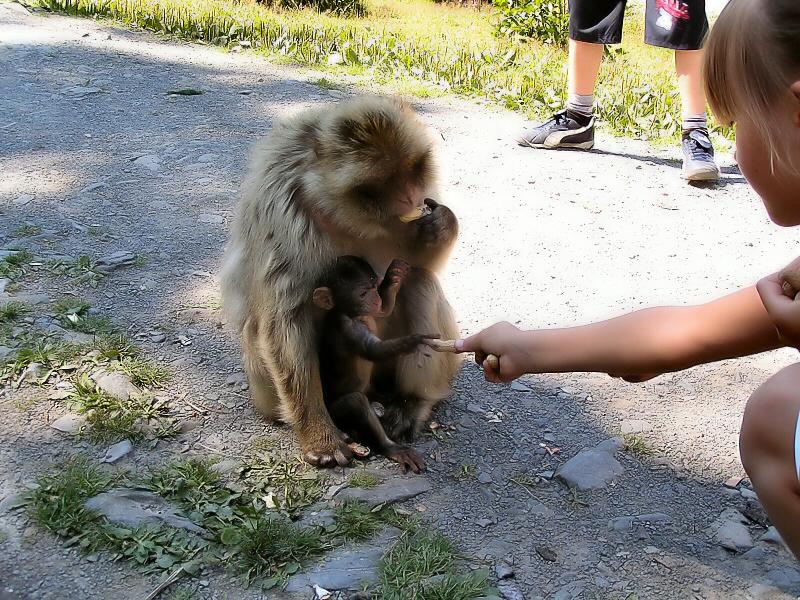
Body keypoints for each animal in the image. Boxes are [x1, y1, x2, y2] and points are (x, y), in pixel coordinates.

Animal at [312, 255, 438, 472]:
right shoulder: (347, 326)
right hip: (333, 410)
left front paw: (393, 278)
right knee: (356, 403)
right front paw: (413, 342)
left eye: (373, 287)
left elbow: (383, 311)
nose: (374, 297)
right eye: (363, 293)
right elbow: (373, 350)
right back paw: (389, 447)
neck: (354, 313)